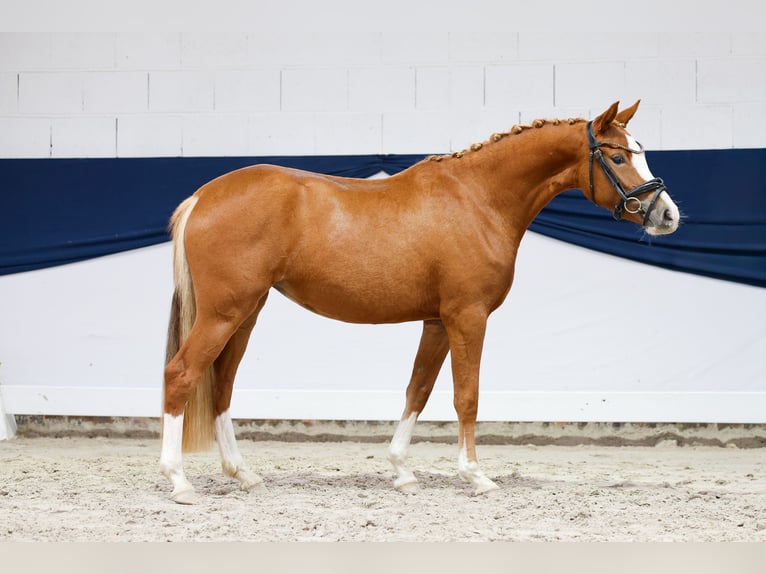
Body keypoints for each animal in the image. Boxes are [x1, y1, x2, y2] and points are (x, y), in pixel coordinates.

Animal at [160, 100, 680, 504]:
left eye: (640, 152)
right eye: (618, 156)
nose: (667, 215)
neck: (478, 199)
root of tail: (203, 196)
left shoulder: (437, 321)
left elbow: (419, 390)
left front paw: (402, 471)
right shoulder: (468, 317)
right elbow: (466, 396)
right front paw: (475, 475)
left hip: (245, 314)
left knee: (222, 384)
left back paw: (243, 474)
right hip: (224, 314)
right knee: (181, 375)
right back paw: (179, 482)